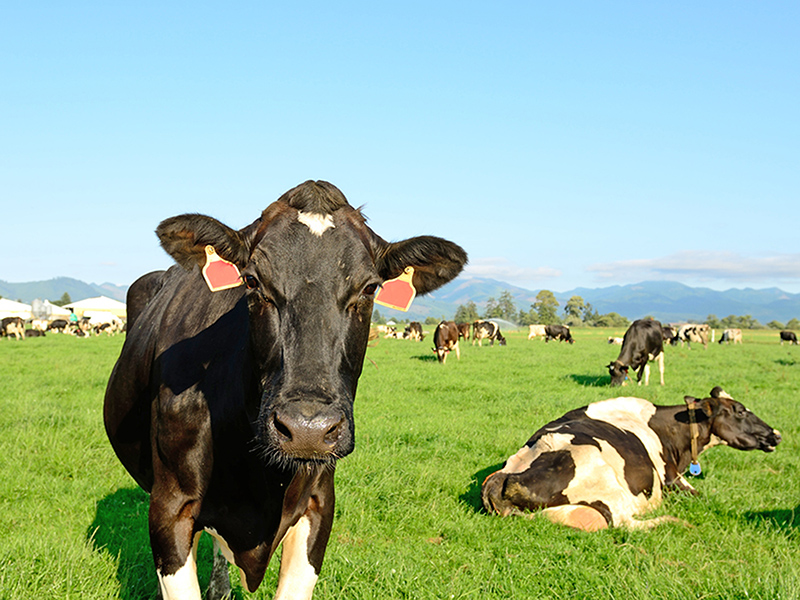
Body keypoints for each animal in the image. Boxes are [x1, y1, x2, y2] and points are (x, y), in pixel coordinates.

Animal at [482, 384, 780, 528]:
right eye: (740, 411)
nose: (776, 435)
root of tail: (505, 477)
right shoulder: (672, 479)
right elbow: (705, 498)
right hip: (606, 482)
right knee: (625, 524)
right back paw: (676, 523)